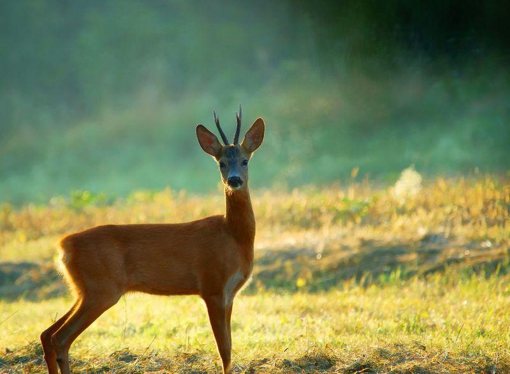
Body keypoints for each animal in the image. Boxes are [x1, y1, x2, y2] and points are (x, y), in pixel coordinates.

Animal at [40, 106, 266, 374]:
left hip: (83, 290)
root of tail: (63, 246)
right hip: (101, 289)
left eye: (245, 160)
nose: (234, 180)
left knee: (47, 334)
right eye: (221, 163)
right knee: (60, 337)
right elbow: (225, 350)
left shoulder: (228, 293)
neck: (233, 235)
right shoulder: (212, 286)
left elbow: (229, 346)